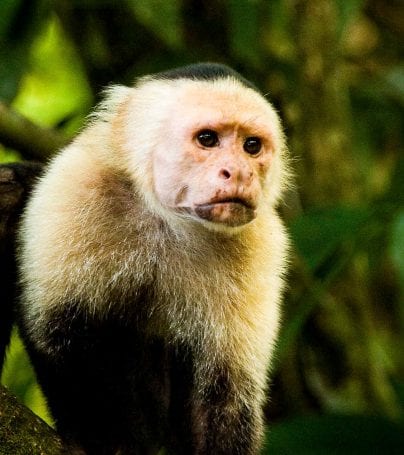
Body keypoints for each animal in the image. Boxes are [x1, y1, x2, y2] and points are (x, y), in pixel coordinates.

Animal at [14, 64, 290, 455]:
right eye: (207, 139)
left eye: (252, 146)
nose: (239, 172)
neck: (169, 221)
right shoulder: (76, 185)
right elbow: (58, 333)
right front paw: (108, 439)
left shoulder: (263, 245)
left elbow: (228, 395)